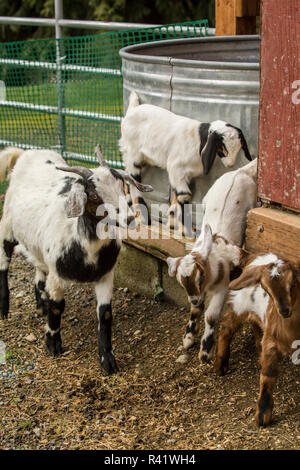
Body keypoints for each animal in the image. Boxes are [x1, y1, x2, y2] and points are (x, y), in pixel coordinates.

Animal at [0, 145, 152, 372]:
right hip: (7, 227)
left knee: (38, 264)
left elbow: (105, 315)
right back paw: (4, 309)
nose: (130, 218)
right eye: (95, 196)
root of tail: (26, 153)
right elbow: (57, 307)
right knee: (4, 263)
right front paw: (53, 345)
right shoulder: (57, 276)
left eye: (123, 186)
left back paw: (40, 302)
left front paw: (107, 359)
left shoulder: (106, 275)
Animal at [118, 90, 252, 229]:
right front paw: (183, 229)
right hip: (133, 154)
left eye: (239, 147)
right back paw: (143, 218)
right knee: (134, 180)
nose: (230, 164)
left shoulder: (186, 175)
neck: (198, 140)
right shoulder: (176, 169)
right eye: (221, 147)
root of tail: (132, 109)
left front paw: (171, 222)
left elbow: (176, 197)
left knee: (126, 175)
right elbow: (183, 197)